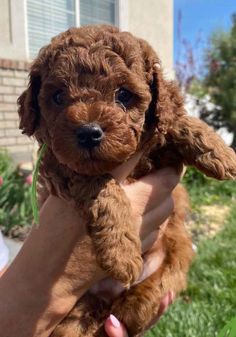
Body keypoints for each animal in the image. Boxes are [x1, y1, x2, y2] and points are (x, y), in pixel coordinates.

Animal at [17, 25, 236, 334]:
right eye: (58, 97)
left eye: (123, 95)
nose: (88, 132)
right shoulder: (58, 163)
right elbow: (101, 188)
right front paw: (121, 252)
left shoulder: (159, 151)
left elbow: (174, 121)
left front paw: (220, 152)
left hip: (175, 258)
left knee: (137, 307)